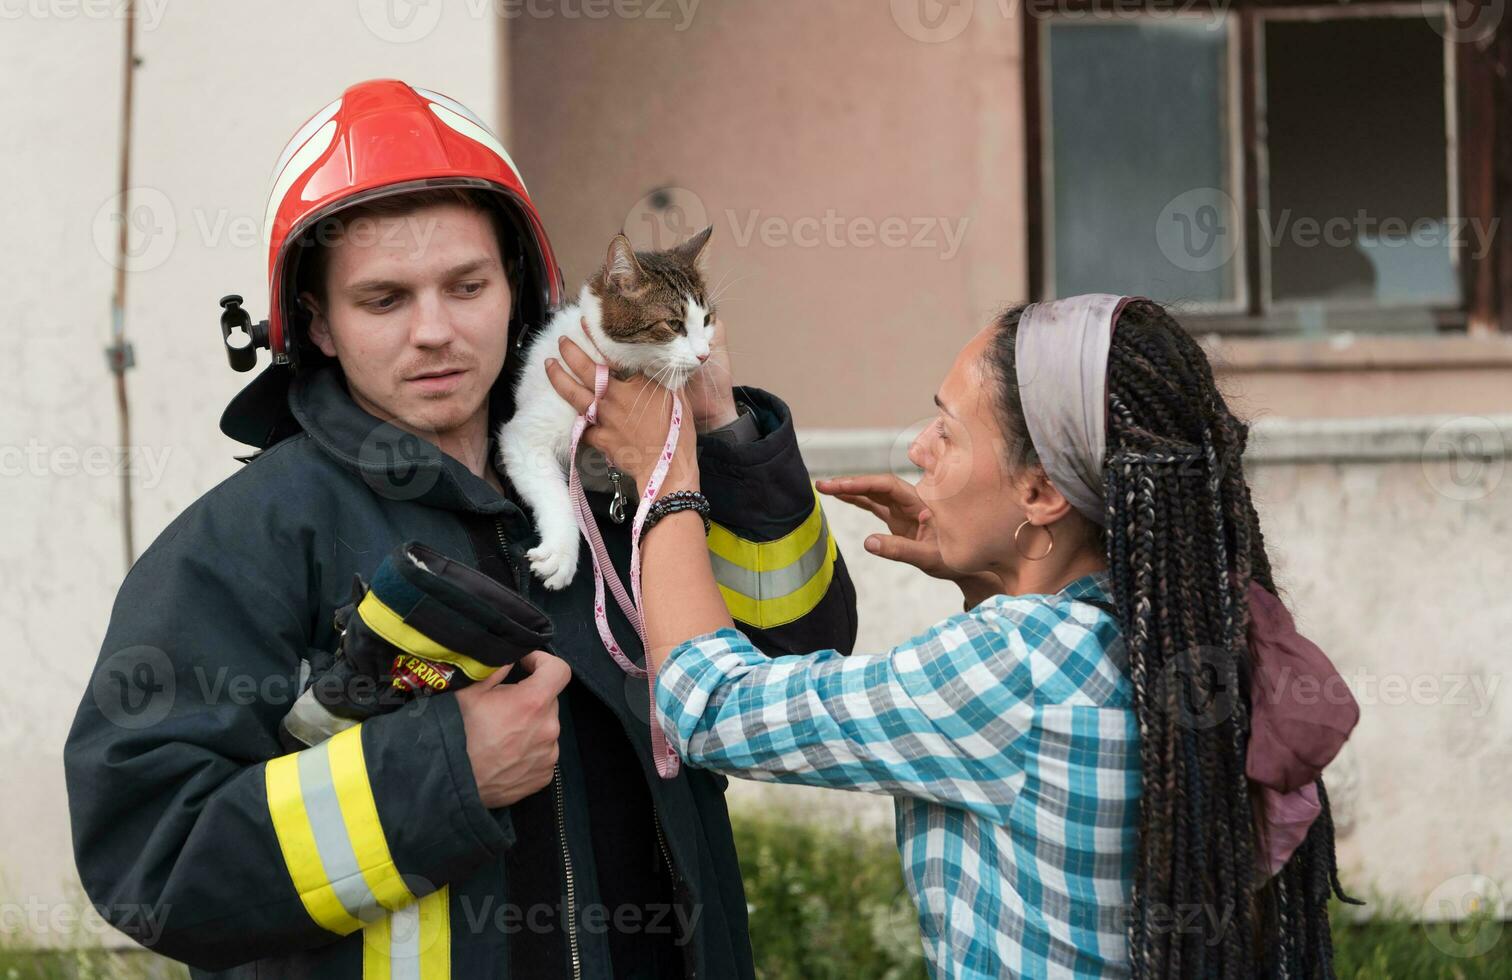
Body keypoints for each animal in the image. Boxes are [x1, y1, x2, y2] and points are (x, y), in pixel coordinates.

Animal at [492, 229, 710, 589]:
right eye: (674, 324)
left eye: (707, 320)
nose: (705, 355)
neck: (610, 370)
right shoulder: (523, 435)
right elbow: (555, 490)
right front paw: (562, 551)